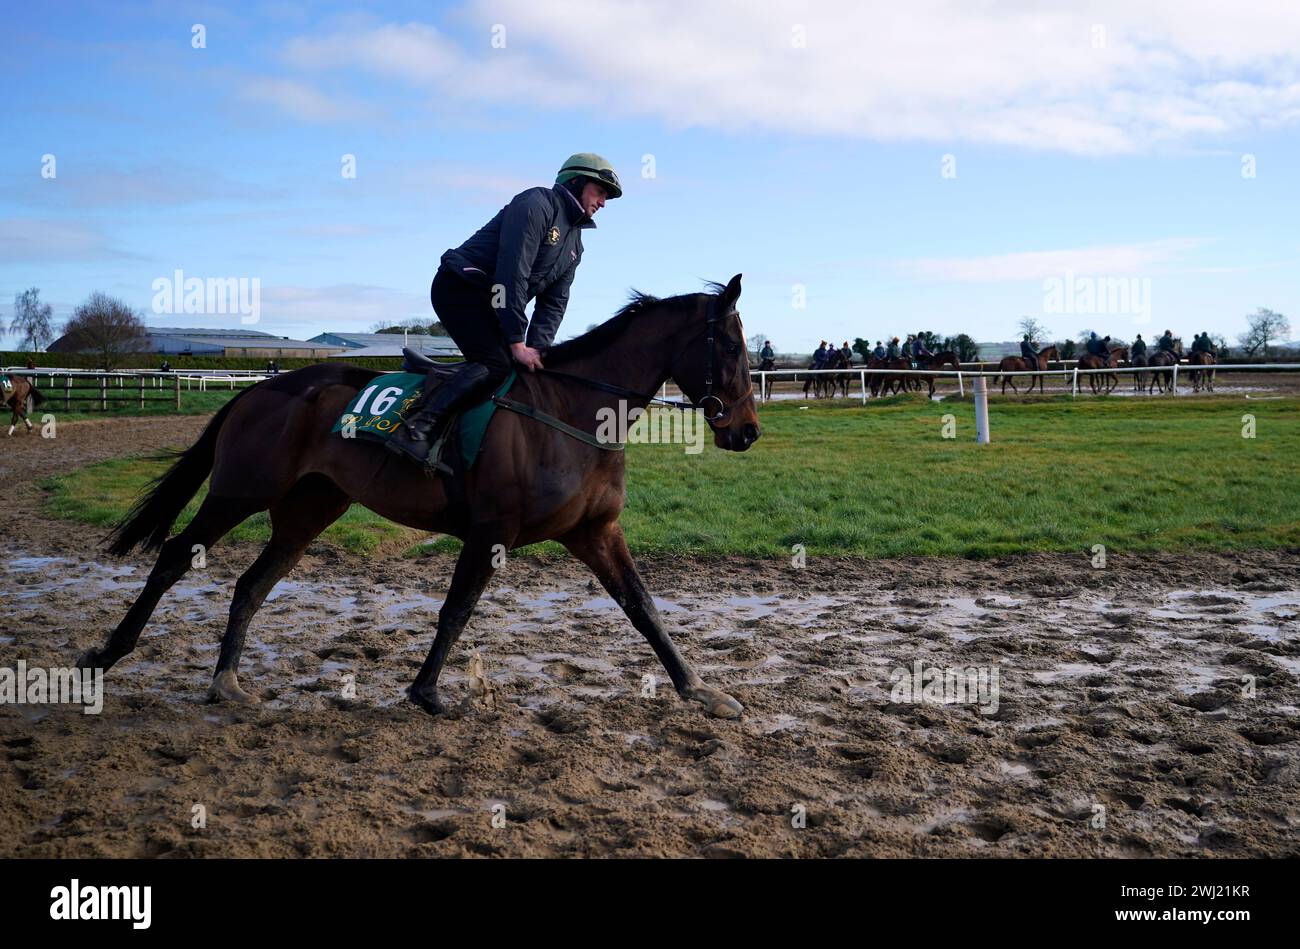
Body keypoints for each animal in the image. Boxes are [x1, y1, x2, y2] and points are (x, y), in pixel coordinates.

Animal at [81, 273, 759, 717]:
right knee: (175, 556)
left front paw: (700, 690)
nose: (747, 431)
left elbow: (642, 607)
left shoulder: (594, 531)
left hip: (308, 509)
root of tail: (259, 389)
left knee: (251, 584)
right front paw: (427, 692)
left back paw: (226, 681)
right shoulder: (491, 531)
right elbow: (456, 610)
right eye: (731, 346)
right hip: (239, 492)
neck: (573, 411)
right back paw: (107, 655)